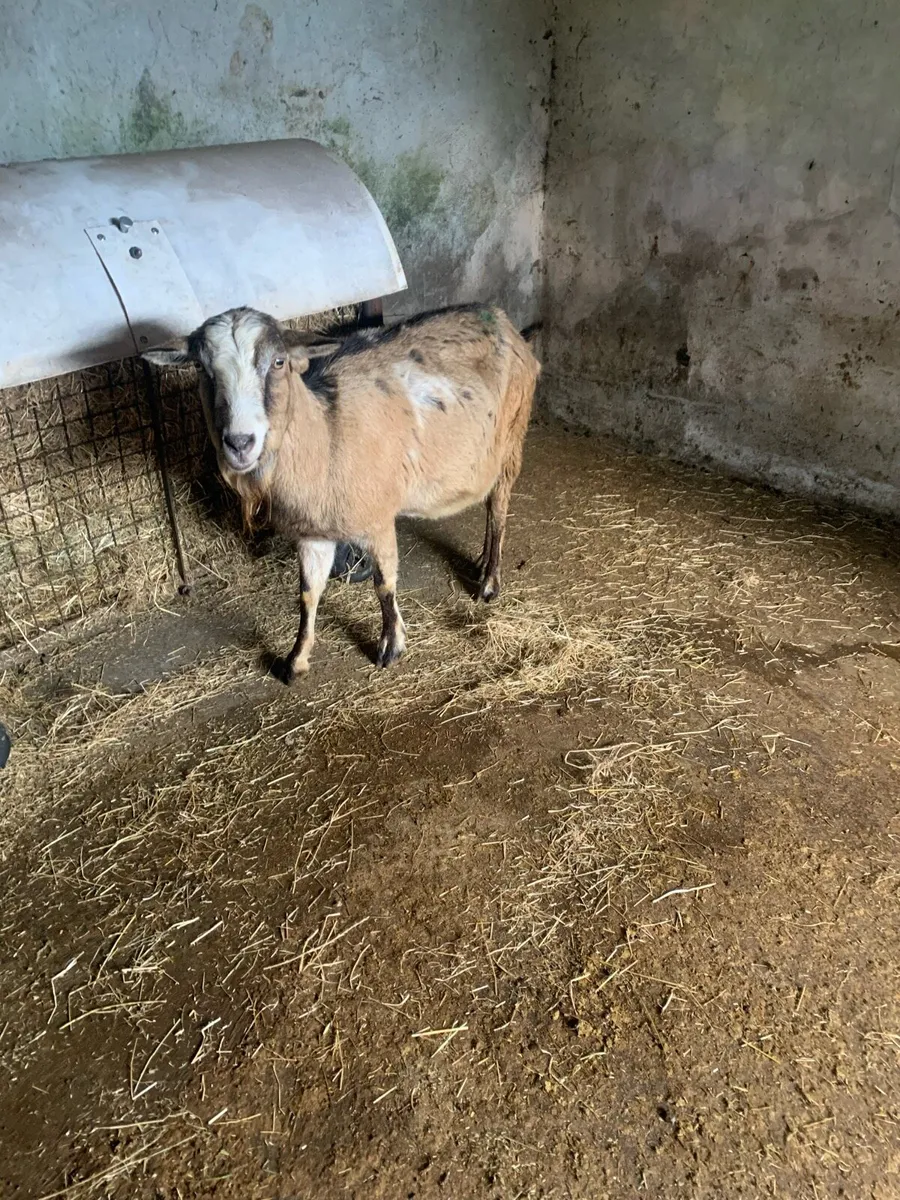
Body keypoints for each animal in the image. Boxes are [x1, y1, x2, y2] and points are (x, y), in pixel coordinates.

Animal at [143, 304, 540, 678]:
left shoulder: (379, 518)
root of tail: (506, 323)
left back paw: (489, 581)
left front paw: (390, 646)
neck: (325, 434)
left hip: (512, 439)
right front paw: (295, 661)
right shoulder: (311, 535)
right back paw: (481, 562)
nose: (240, 443)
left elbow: (384, 585)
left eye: (279, 362)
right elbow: (307, 595)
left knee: (498, 510)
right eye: (202, 368)